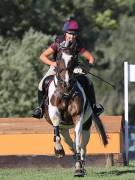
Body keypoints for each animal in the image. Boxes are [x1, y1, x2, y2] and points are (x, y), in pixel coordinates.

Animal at [42, 47, 108, 176]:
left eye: (73, 59)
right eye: (58, 58)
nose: (67, 82)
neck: (66, 91)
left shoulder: (78, 117)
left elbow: (78, 143)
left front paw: (78, 169)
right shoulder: (55, 115)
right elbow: (57, 136)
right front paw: (59, 151)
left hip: (87, 125)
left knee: (82, 147)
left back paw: (81, 166)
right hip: (64, 129)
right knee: (69, 143)